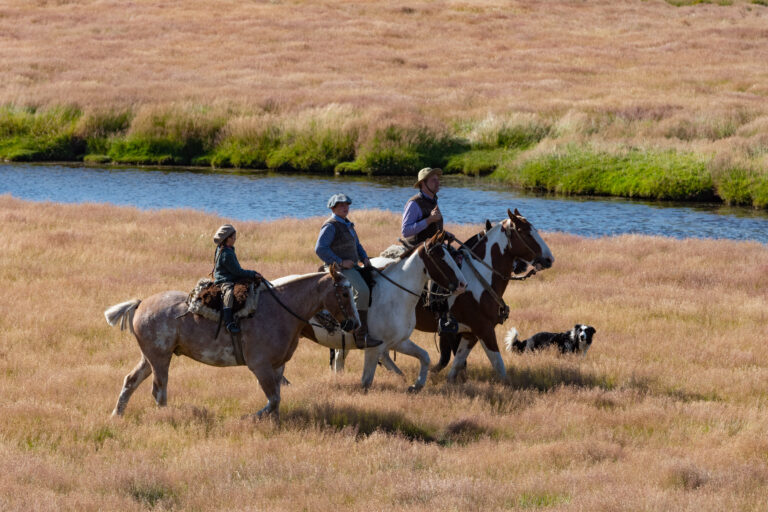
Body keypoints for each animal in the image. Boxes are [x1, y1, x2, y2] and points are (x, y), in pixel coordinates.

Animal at [103, 264, 358, 420]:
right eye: (345, 294)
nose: (354, 324)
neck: (280, 310)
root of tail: (141, 304)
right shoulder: (260, 366)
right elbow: (272, 399)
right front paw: (252, 417)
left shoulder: (277, 366)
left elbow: (276, 400)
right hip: (160, 360)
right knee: (159, 390)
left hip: (150, 358)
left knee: (131, 381)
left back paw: (117, 414)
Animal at [300, 232, 468, 392]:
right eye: (441, 258)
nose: (463, 284)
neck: (394, 295)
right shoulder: (374, 348)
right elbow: (366, 381)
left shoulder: (399, 342)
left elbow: (424, 357)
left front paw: (416, 386)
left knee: (338, 360)